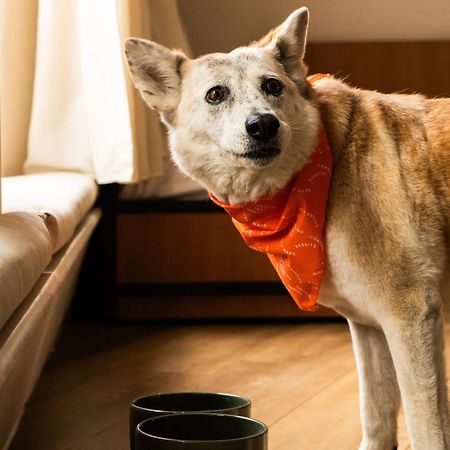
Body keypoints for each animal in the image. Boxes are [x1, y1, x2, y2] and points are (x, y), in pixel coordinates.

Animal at [125, 7, 450, 450]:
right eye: (216, 95)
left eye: (272, 86)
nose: (263, 124)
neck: (329, 163)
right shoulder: (370, 327)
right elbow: (377, 413)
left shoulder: (412, 316)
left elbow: (426, 426)